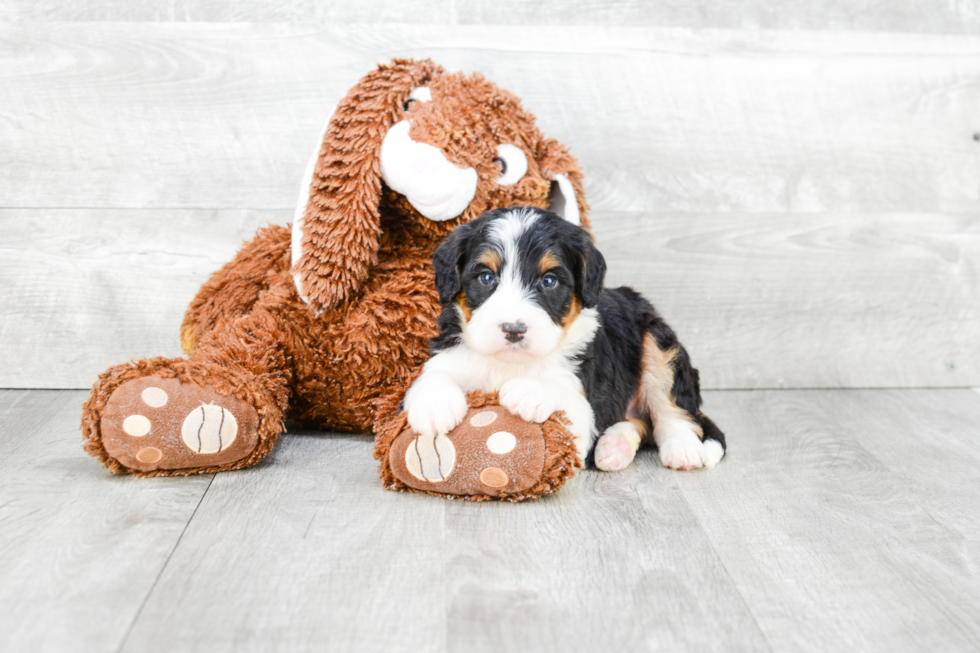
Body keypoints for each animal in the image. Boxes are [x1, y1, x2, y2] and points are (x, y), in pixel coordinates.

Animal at [402, 206, 724, 472]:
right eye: (486, 278)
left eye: (549, 281)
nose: (514, 329)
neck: (508, 364)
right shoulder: (450, 352)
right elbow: (435, 374)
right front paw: (434, 405)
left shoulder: (583, 409)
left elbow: (561, 393)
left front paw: (529, 392)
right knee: (640, 422)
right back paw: (615, 447)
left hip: (657, 339)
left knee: (671, 409)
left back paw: (682, 449)